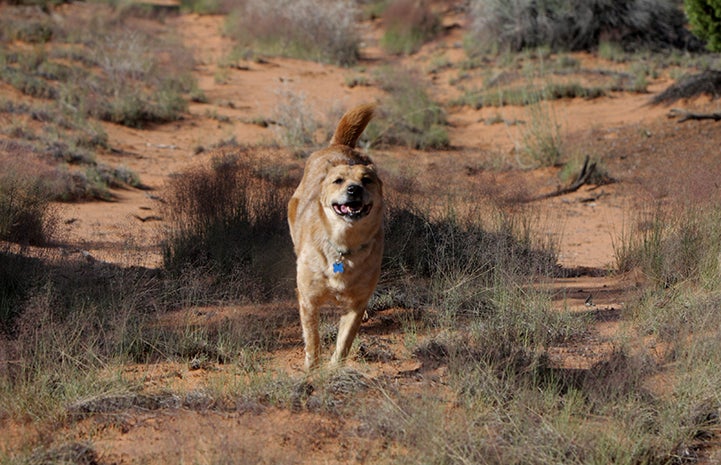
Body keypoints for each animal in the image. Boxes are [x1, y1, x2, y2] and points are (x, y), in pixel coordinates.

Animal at [290, 102, 386, 370]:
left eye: (367, 180)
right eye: (338, 181)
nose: (354, 189)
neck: (343, 246)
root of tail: (339, 146)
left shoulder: (355, 304)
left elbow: (344, 342)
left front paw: (334, 369)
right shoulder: (309, 300)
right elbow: (313, 339)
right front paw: (313, 369)